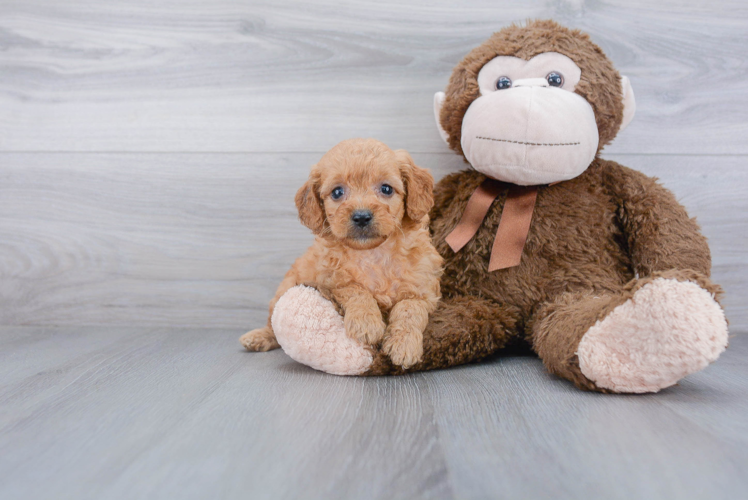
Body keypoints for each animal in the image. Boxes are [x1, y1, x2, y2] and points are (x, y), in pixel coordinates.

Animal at [241, 137, 444, 368]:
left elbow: (410, 309)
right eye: (337, 192)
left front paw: (404, 344)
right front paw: (367, 323)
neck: (372, 253)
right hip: (284, 289)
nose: (362, 216)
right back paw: (258, 337)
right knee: (273, 325)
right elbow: (356, 289)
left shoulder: (423, 291)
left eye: (386, 189)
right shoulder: (331, 280)